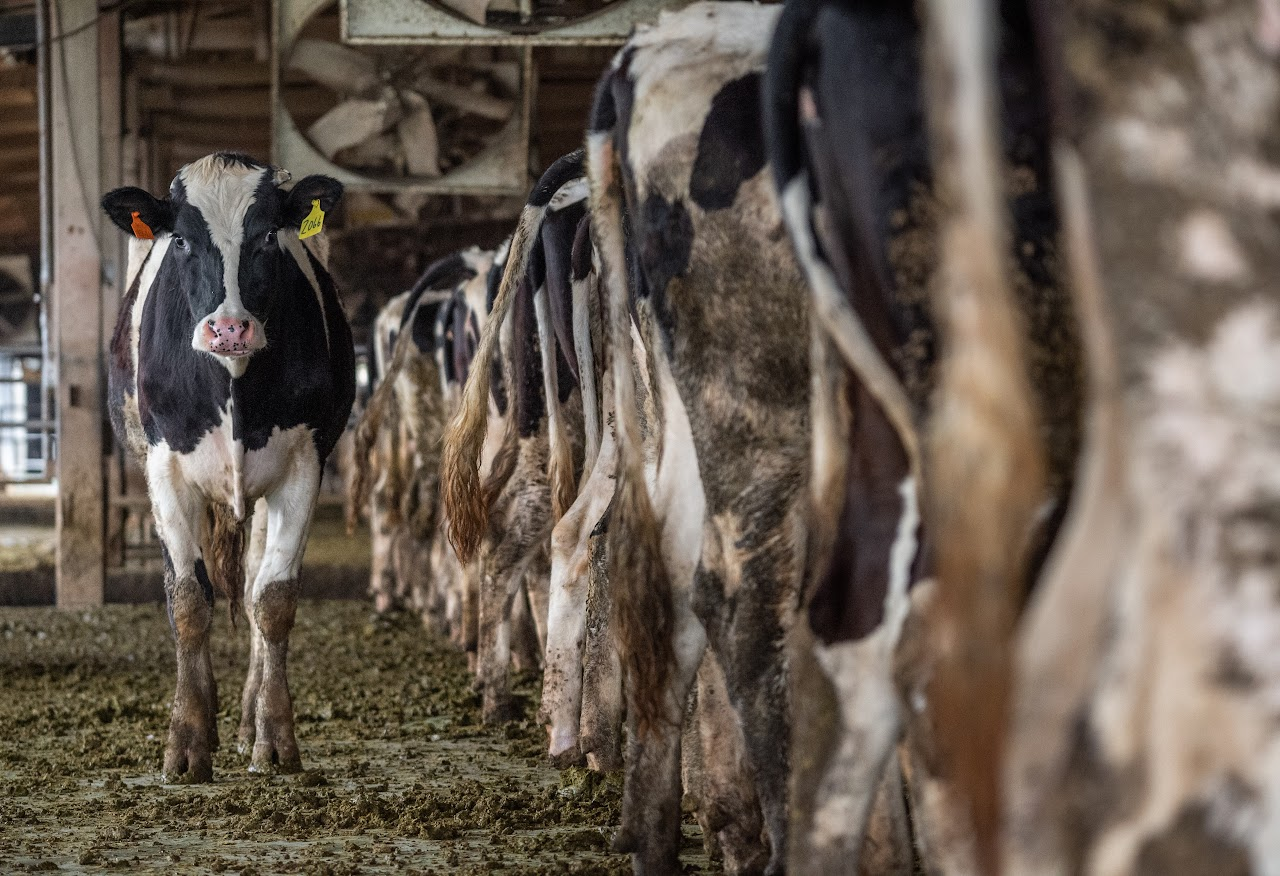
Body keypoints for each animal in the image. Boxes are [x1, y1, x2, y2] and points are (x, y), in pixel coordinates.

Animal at [101, 152, 354, 781]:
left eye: (267, 235)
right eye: (182, 241)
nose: (230, 327)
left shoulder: (304, 465)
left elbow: (273, 599)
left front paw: (275, 737)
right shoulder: (165, 468)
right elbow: (189, 601)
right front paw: (187, 742)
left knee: (253, 581)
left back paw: (243, 721)